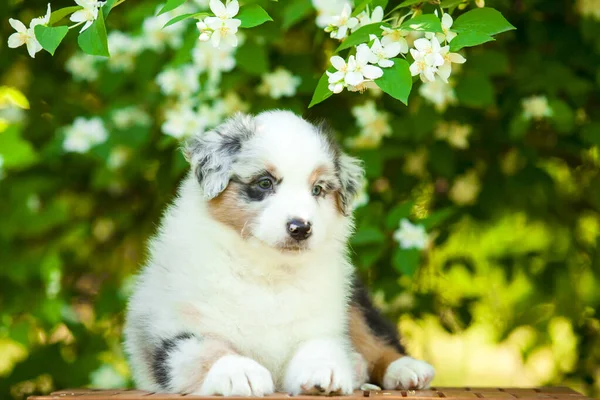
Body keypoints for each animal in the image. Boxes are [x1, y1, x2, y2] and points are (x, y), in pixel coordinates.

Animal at [124, 111, 434, 396]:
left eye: (317, 189)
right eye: (265, 183)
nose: (300, 228)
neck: (267, 270)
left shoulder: (322, 321)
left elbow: (321, 345)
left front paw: (324, 371)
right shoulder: (165, 329)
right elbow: (204, 350)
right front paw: (240, 373)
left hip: (353, 299)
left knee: (373, 334)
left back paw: (406, 368)